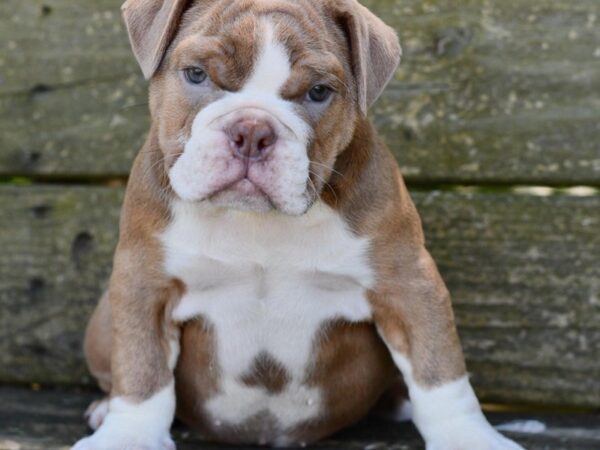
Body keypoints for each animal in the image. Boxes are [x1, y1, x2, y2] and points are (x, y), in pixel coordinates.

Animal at [71, 0, 524, 450]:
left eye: (318, 92)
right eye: (196, 74)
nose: (252, 130)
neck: (258, 221)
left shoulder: (408, 284)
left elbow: (440, 372)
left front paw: (468, 437)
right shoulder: (144, 284)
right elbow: (141, 367)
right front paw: (127, 436)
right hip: (103, 319)